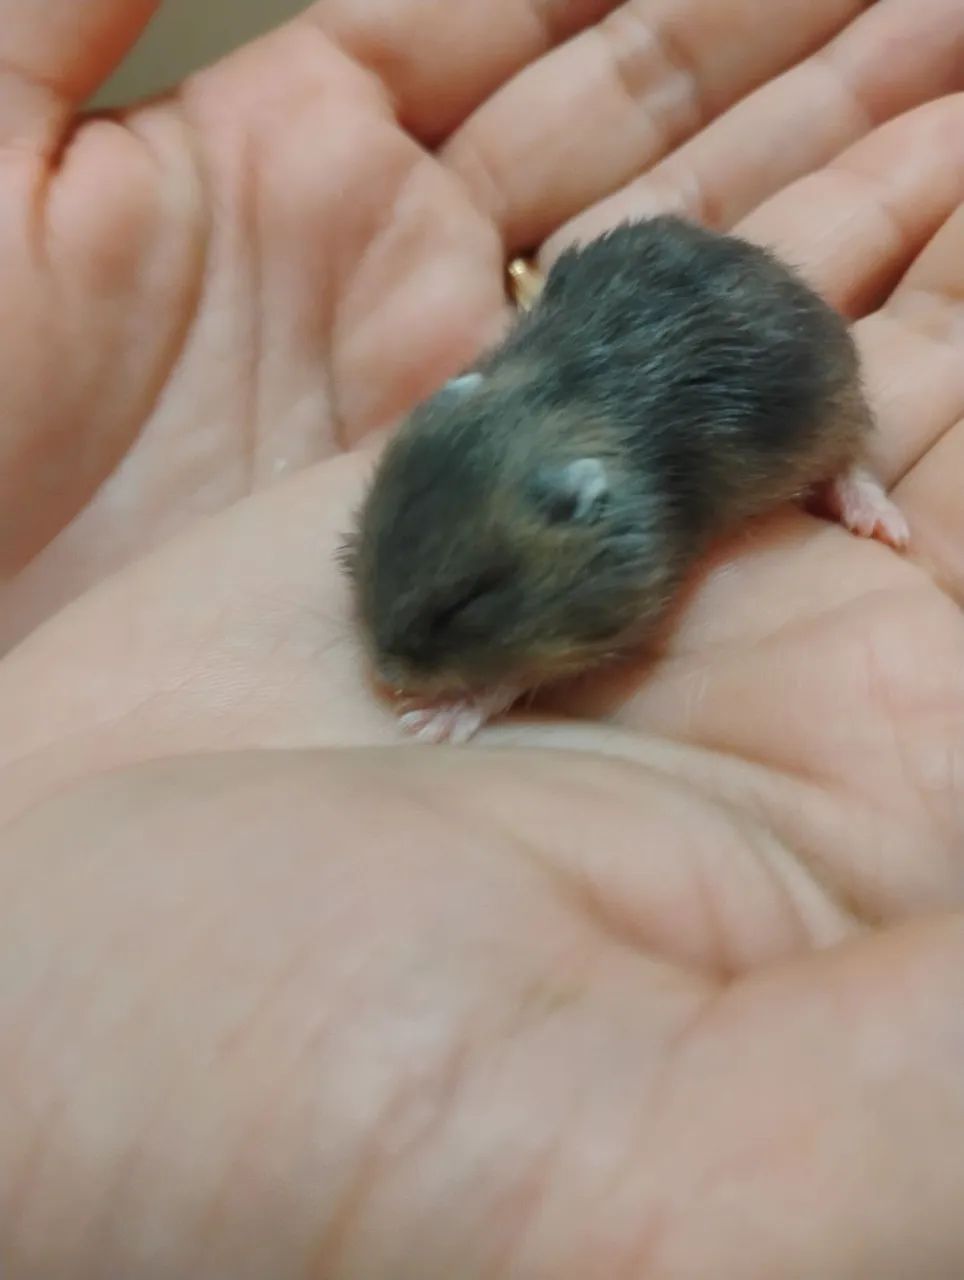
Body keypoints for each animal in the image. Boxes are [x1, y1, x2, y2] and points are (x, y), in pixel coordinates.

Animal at [343, 215, 908, 744]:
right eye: (369, 544)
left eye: (467, 602)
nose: (385, 673)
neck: (558, 403)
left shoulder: (612, 614)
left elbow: (511, 679)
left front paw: (438, 719)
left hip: (831, 410)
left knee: (851, 459)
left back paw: (882, 521)